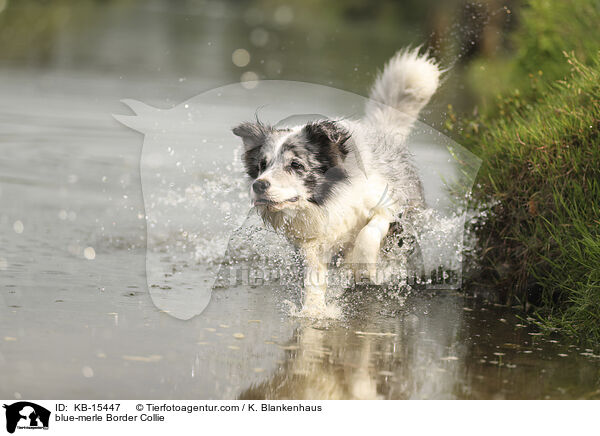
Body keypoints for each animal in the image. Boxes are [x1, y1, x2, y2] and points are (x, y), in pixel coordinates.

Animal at [233, 46, 440, 314]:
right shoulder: (311, 239)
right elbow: (314, 275)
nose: (258, 185)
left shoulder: (390, 203)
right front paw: (313, 311)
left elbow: (370, 231)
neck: (333, 199)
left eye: (296, 165)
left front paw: (363, 267)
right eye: (262, 166)